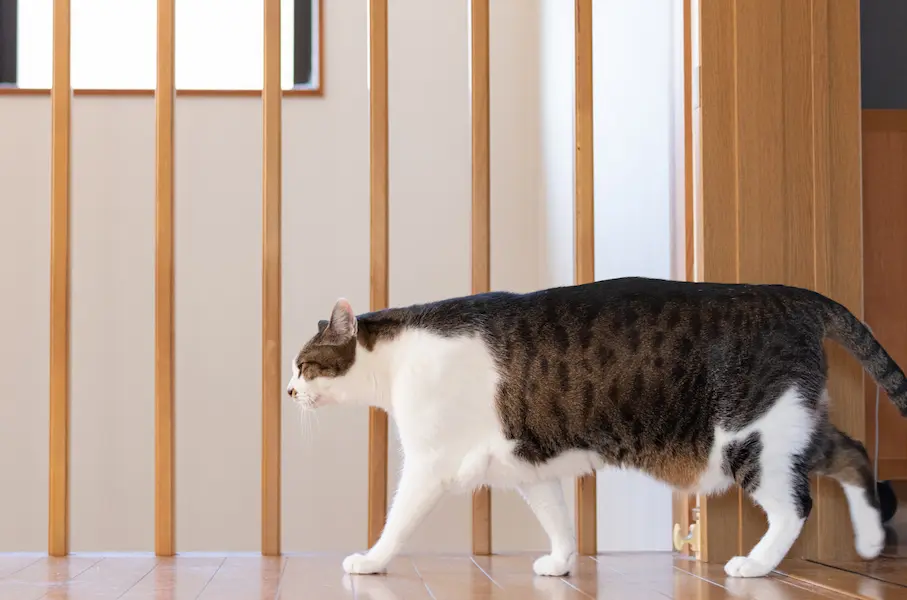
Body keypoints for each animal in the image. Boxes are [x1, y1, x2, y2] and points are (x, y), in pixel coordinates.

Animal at [286, 276, 907, 576]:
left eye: (302, 364)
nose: (288, 392)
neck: (393, 359)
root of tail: (794, 297)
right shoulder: (528, 464)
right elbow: (558, 519)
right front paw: (561, 564)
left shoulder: (430, 463)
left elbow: (397, 520)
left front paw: (369, 562)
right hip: (790, 423)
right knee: (852, 454)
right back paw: (871, 541)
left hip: (748, 438)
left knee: (795, 505)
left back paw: (754, 565)